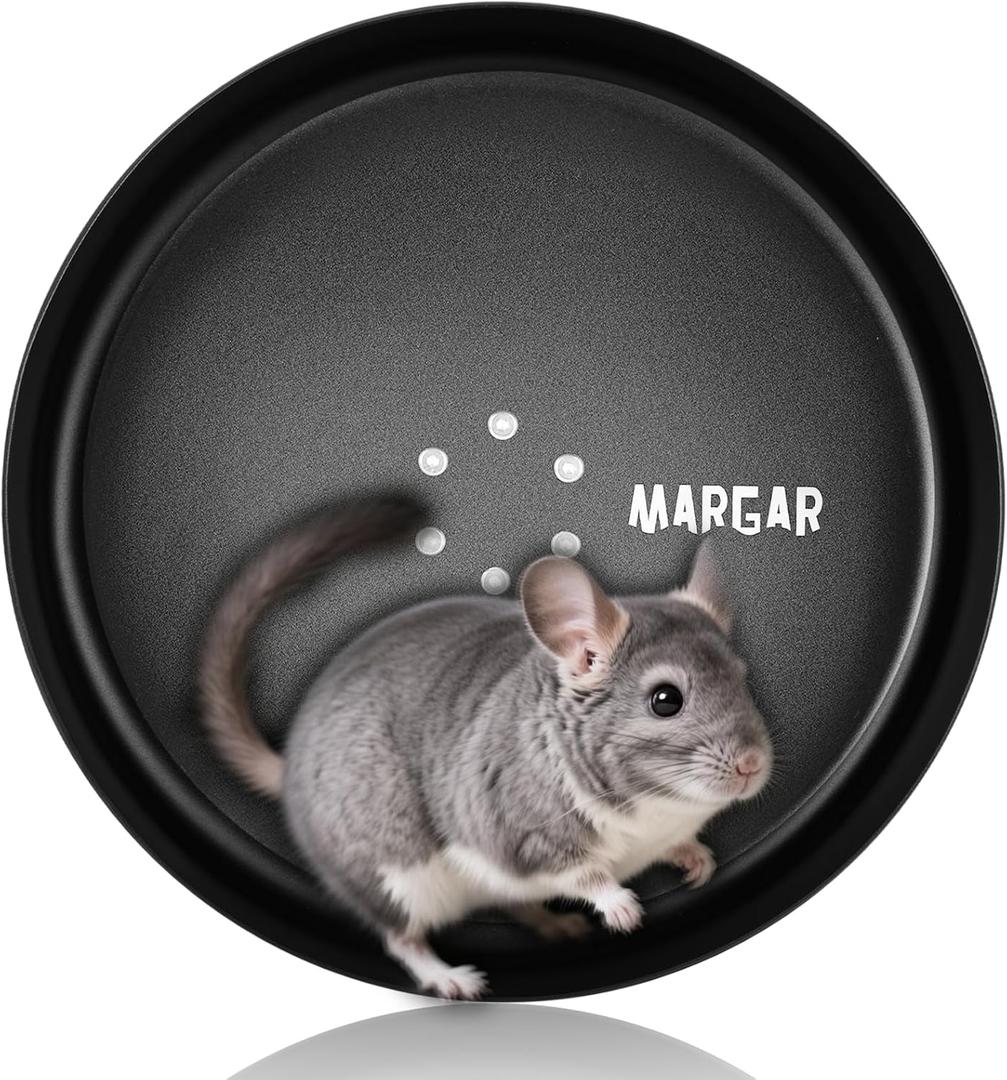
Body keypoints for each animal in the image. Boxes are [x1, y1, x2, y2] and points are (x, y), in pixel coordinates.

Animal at [199, 496, 772, 999]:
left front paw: (698, 861)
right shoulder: (523, 834)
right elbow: (585, 873)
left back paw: (557, 925)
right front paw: (623, 910)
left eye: (742, 679)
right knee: (401, 938)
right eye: (665, 700)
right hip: (392, 874)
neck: (655, 812)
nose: (753, 765)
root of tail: (289, 765)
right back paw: (454, 980)